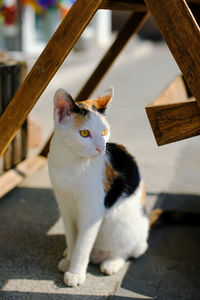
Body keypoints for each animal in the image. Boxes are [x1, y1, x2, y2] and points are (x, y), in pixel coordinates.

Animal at [47, 86, 149, 286]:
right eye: (84, 133)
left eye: (104, 132)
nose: (101, 148)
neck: (70, 162)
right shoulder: (65, 205)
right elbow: (72, 238)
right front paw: (69, 259)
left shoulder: (92, 212)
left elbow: (83, 245)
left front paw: (75, 273)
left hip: (124, 227)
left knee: (129, 250)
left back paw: (112, 263)